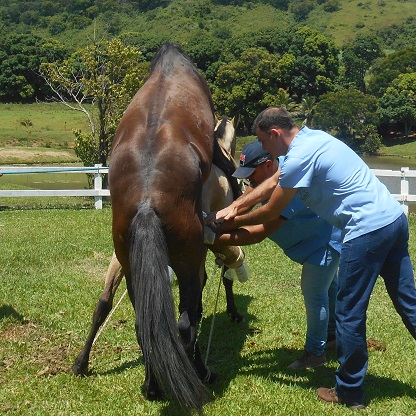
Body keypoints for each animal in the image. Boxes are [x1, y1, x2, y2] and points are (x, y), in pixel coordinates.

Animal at [71, 42, 239, 412]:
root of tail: (148, 200)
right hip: (187, 264)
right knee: (185, 323)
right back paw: (199, 375)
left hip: (132, 263)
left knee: (144, 324)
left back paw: (150, 385)